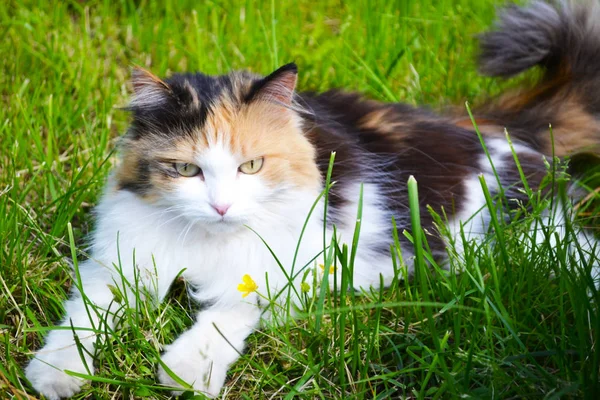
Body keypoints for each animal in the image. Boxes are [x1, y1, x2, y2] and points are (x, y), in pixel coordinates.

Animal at [25, 1, 600, 398]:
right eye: (186, 170)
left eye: (251, 166)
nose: (221, 207)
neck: (207, 244)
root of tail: (488, 127)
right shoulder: (116, 264)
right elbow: (82, 318)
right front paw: (55, 371)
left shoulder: (283, 272)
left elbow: (226, 314)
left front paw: (186, 371)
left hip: (521, 242)